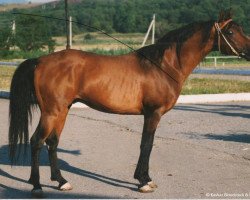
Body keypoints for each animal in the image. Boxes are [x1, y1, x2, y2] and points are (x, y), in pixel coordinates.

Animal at [8, 9, 249, 197]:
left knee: (52, 142)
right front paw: (143, 182)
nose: (248, 50)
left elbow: (147, 144)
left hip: (62, 110)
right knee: (36, 141)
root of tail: (40, 60)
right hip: (52, 111)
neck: (162, 65)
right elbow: (146, 145)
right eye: (230, 32)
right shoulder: (153, 113)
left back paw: (61, 181)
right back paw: (37, 186)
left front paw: (145, 179)